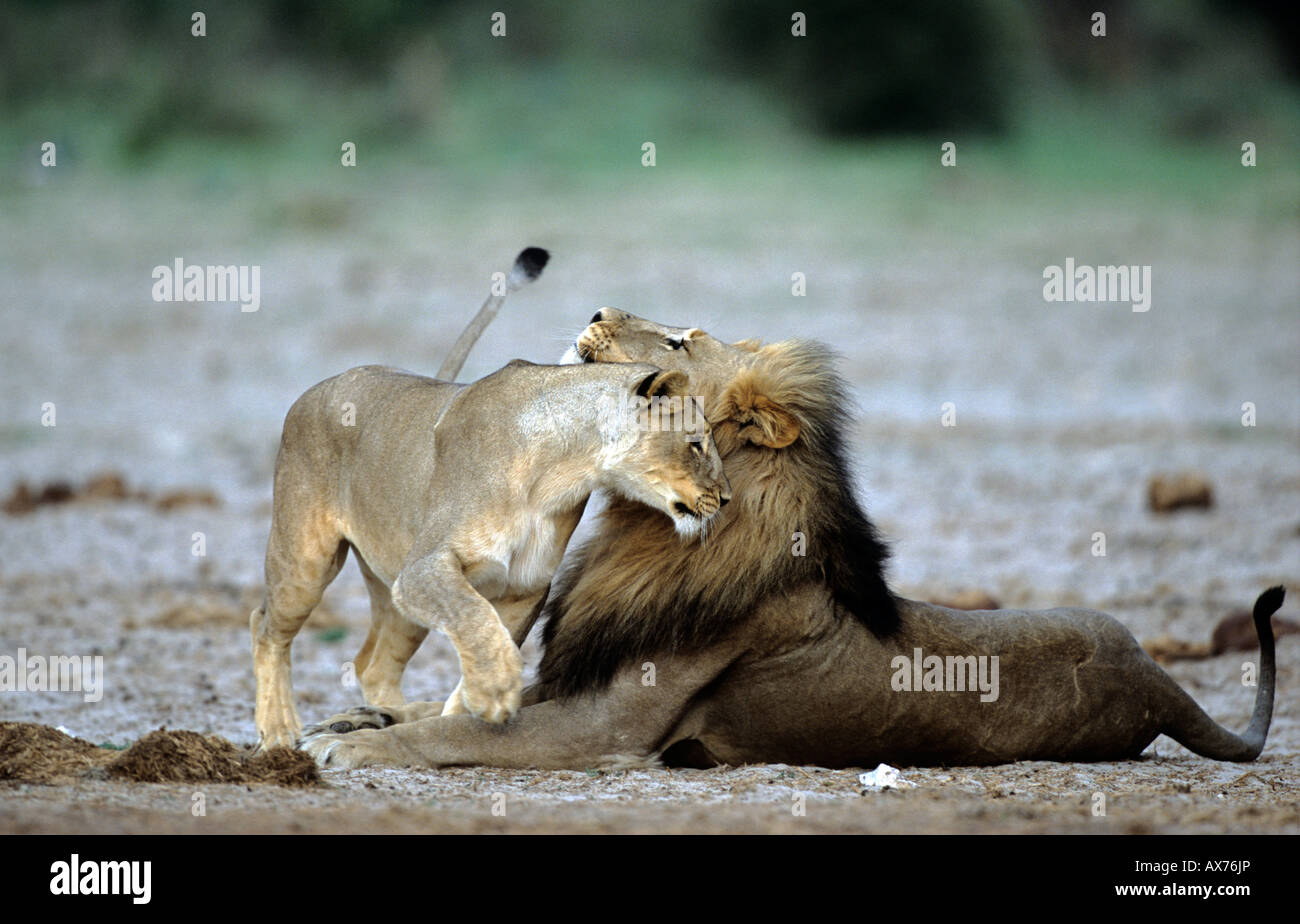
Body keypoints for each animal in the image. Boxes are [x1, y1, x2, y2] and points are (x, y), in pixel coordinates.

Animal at [250, 340, 728, 752]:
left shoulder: (524, 587)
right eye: (696, 444)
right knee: (265, 627)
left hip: (396, 593)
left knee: (375, 663)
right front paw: (495, 691)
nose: (725, 498)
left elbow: (492, 640)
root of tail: (320, 387)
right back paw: (278, 732)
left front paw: (457, 720)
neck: (564, 470)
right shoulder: (425, 566)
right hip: (307, 561)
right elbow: (476, 619)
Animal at [298, 307, 1280, 769]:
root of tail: (1157, 681)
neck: (651, 529)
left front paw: (356, 745)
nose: (598, 310)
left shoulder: (609, 725)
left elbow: (460, 734)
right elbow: (457, 711)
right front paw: (356, 716)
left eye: (681, 339)